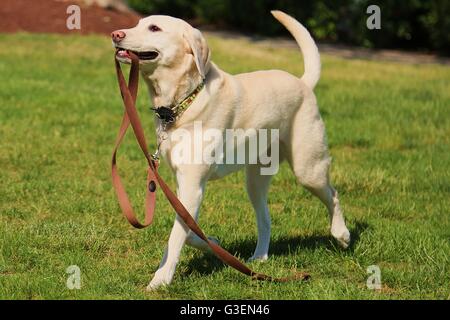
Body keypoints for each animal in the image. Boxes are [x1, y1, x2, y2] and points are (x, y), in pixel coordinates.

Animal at [110, 10, 350, 290]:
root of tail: (303, 83)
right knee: (265, 219)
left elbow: (176, 237)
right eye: (137, 23)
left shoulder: (192, 185)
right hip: (255, 181)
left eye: (154, 28)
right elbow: (188, 230)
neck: (184, 100)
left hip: (307, 169)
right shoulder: (183, 185)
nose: (115, 34)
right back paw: (259, 258)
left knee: (333, 195)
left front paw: (160, 279)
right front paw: (211, 243)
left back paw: (342, 235)